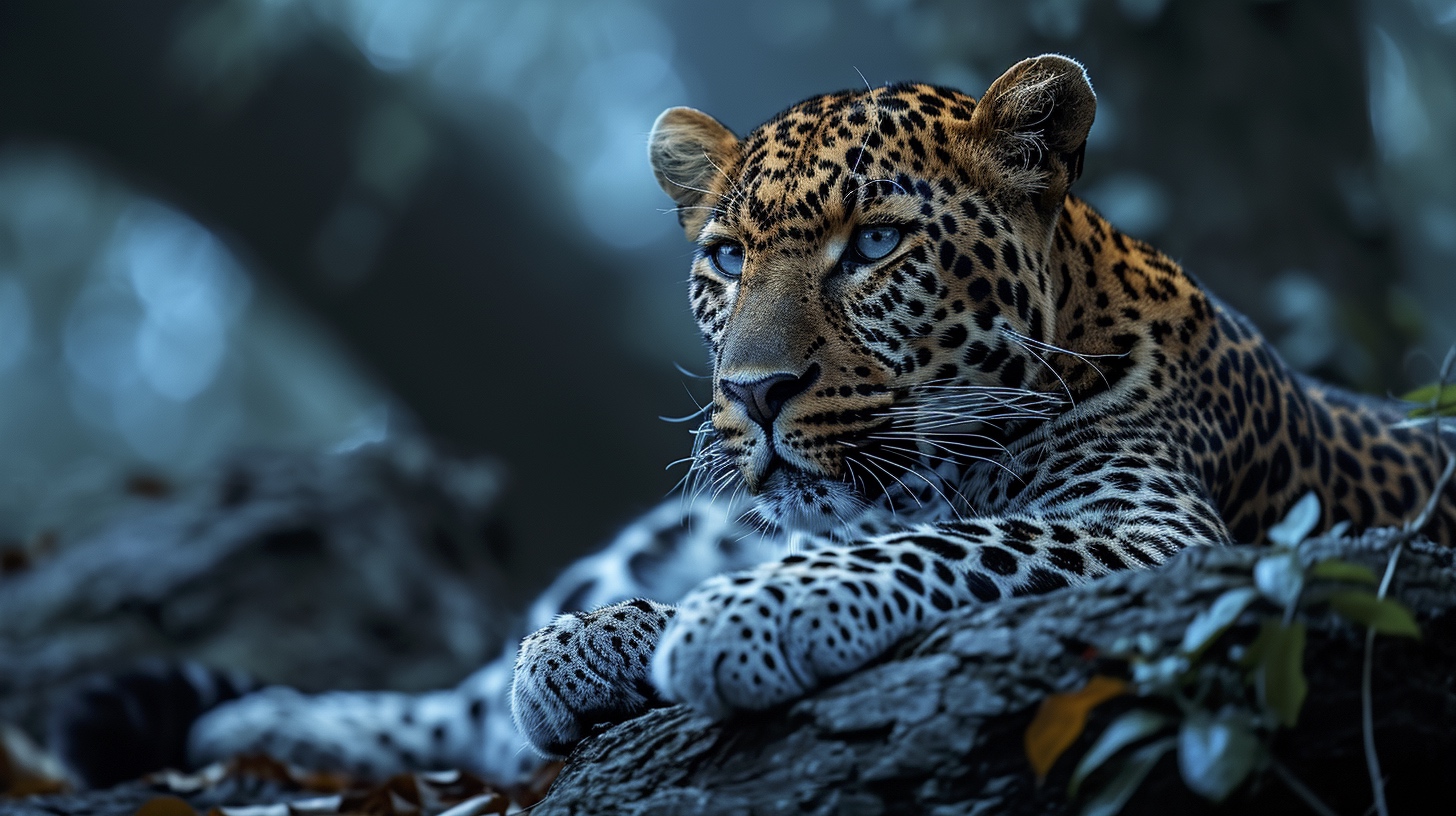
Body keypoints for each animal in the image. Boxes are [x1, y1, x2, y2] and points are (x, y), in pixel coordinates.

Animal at [53, 54, 1455, 790]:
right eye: (725, 258)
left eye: (875, 246)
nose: (753, 393)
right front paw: (592, 646)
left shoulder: (1152, 529)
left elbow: (941, 546)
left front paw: (744, 622)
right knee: (461, 710)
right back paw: (259, 726)